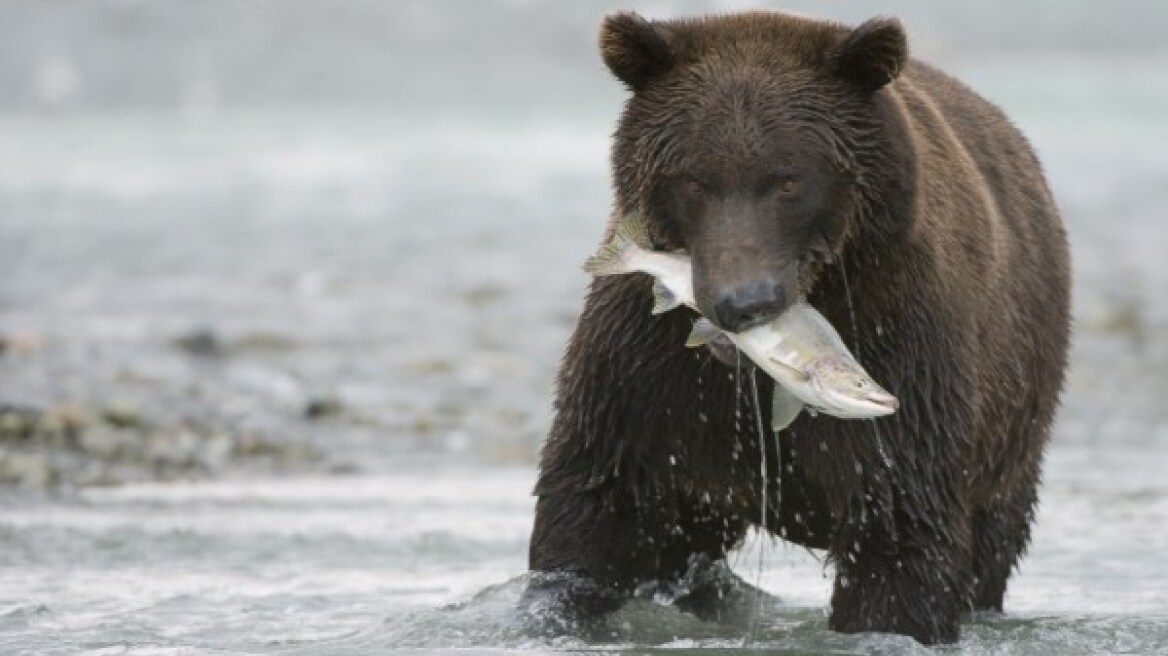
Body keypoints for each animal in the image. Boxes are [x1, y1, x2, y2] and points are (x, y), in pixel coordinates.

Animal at [525, 10, 1069, 644]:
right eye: (693, 178)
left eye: (788, 180)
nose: (744, 301)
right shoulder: (646, 375)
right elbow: (598, 510)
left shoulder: (902, 338)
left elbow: (899, 531)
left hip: (1015, 419)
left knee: (992, 537)